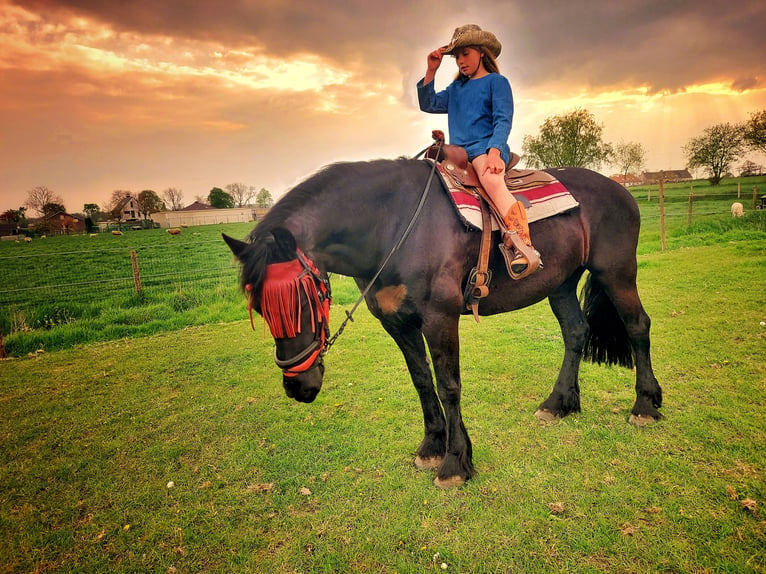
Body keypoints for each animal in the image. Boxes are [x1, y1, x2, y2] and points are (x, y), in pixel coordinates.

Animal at [225, 159, 664, 490]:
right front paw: (432, 447)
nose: (298, 387)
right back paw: (557, 404)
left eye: (301, 300)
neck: (392, 225)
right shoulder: (397, 323)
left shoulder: (440, 317)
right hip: (561, 283)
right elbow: (422, 380)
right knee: (576, 333)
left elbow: (448, 385)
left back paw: (645, 405)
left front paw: (454, 463)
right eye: (261, 309)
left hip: (616, 273)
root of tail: (621, 189)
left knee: (637, 326)